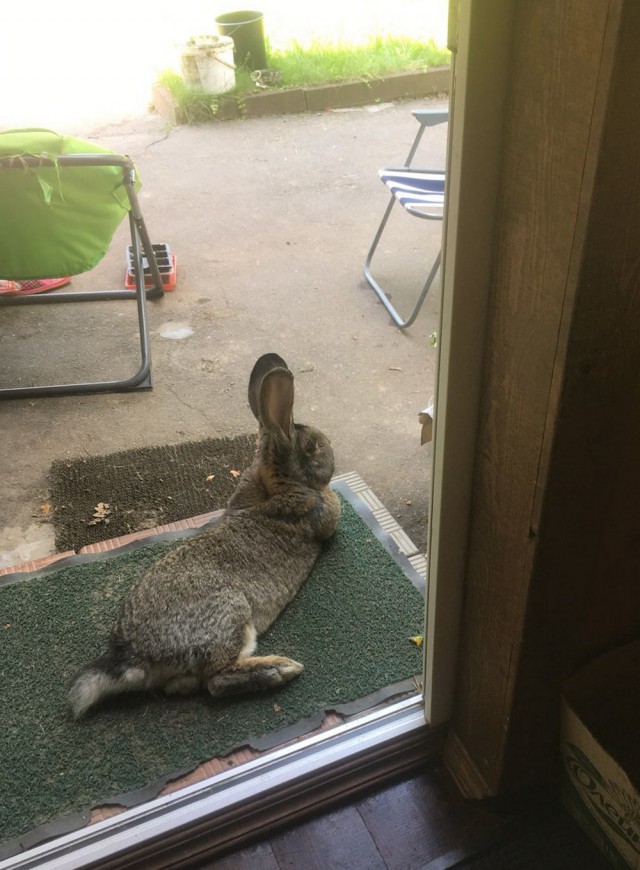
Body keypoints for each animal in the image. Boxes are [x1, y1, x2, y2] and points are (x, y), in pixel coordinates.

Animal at [68, 354, 340, 724]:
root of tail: (135, 656)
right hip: (232, 617)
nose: (333, 454)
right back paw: (279, 669)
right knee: (216, 680)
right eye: (313, 446)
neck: (277, 487)